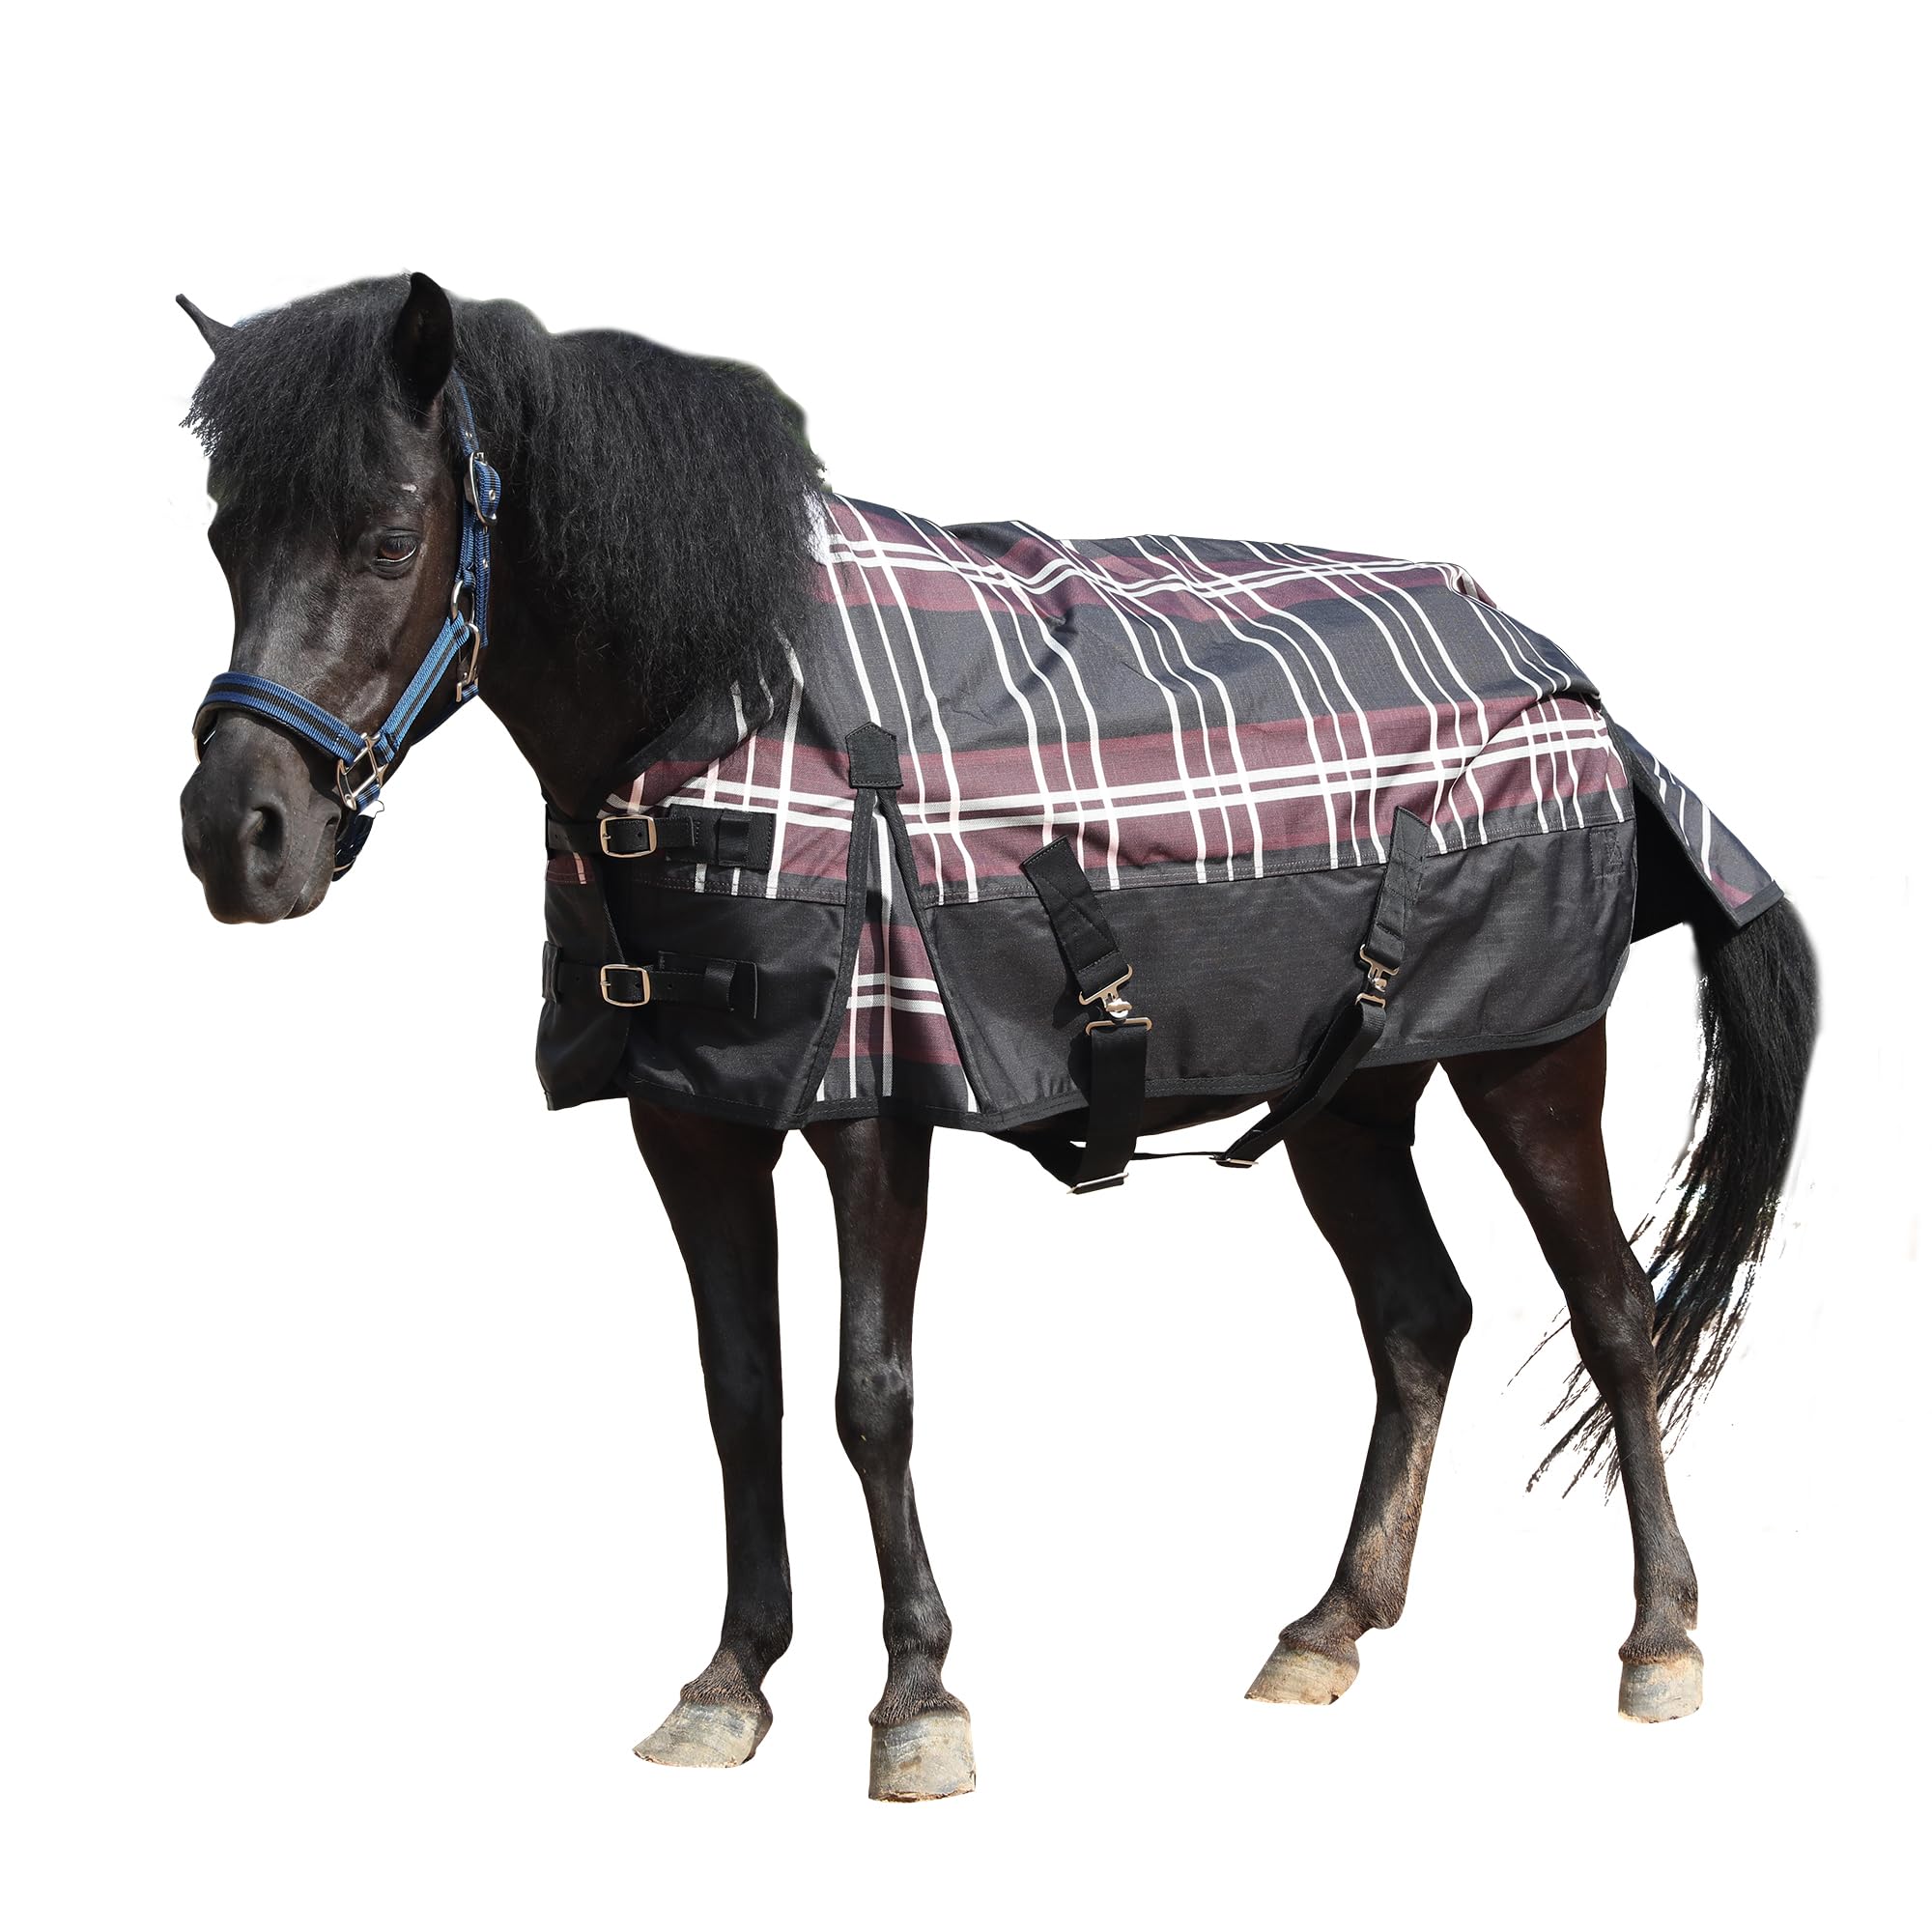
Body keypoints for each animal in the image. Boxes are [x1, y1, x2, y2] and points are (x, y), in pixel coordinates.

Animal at [174, 272, 1818, 1801]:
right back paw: (1328, 1630)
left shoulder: (869, 1112)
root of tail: (1567, 680)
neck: (729, 703)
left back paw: (1661, 1642)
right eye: (222, 538)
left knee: (1612, 1315)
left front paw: (917, 1702)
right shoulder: (690, 1120)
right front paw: (729, 1684)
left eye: (392, 538)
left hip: (1528, 1063)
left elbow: (870, 1399)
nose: (237, 836)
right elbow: (742, 1392)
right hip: (1351, 1103)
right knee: (1419, 1321)